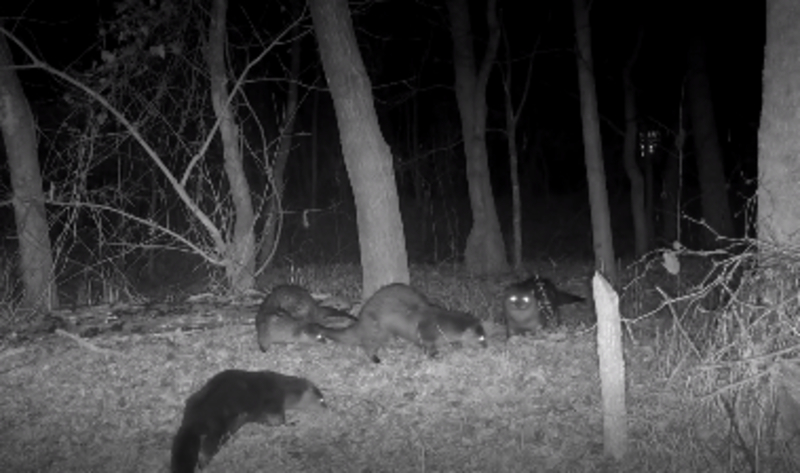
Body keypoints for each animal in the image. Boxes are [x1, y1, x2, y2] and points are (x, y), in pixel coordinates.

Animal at [171, 368, 324, 472]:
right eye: (321, 400)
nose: (327, 407)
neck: (285, 390)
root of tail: (192, 419)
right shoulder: (274, 403)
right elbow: (279, 421)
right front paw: (293, 422)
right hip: (217, 427)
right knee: (207, 449)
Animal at [312, 282, 488, 364]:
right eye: (481, 338)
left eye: (485, 336)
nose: (487, 347)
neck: (442, 324)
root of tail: (361, 318)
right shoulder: (426, 332)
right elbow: (427, 346)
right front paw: (435, 356)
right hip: (377, 330)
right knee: (368, 345)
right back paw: (376, 359)